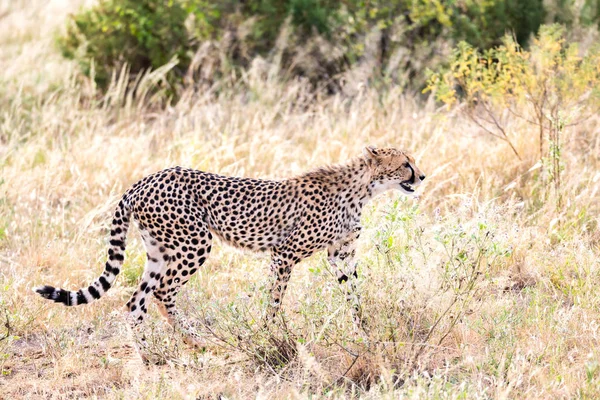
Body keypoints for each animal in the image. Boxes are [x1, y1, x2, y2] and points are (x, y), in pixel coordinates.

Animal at [34, 145, 426, 360]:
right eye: (405, 163)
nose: (422, 177)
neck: (363, 188)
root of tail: (145, 179)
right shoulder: (283, 254)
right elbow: (274, 301)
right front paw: (270, 338)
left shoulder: (339, 255)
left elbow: (355, 297)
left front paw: (368, 335)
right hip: (195, 242)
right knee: (162, 293)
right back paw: (196, 342)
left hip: (159, 250)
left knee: (136, 301)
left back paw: (147, 353)